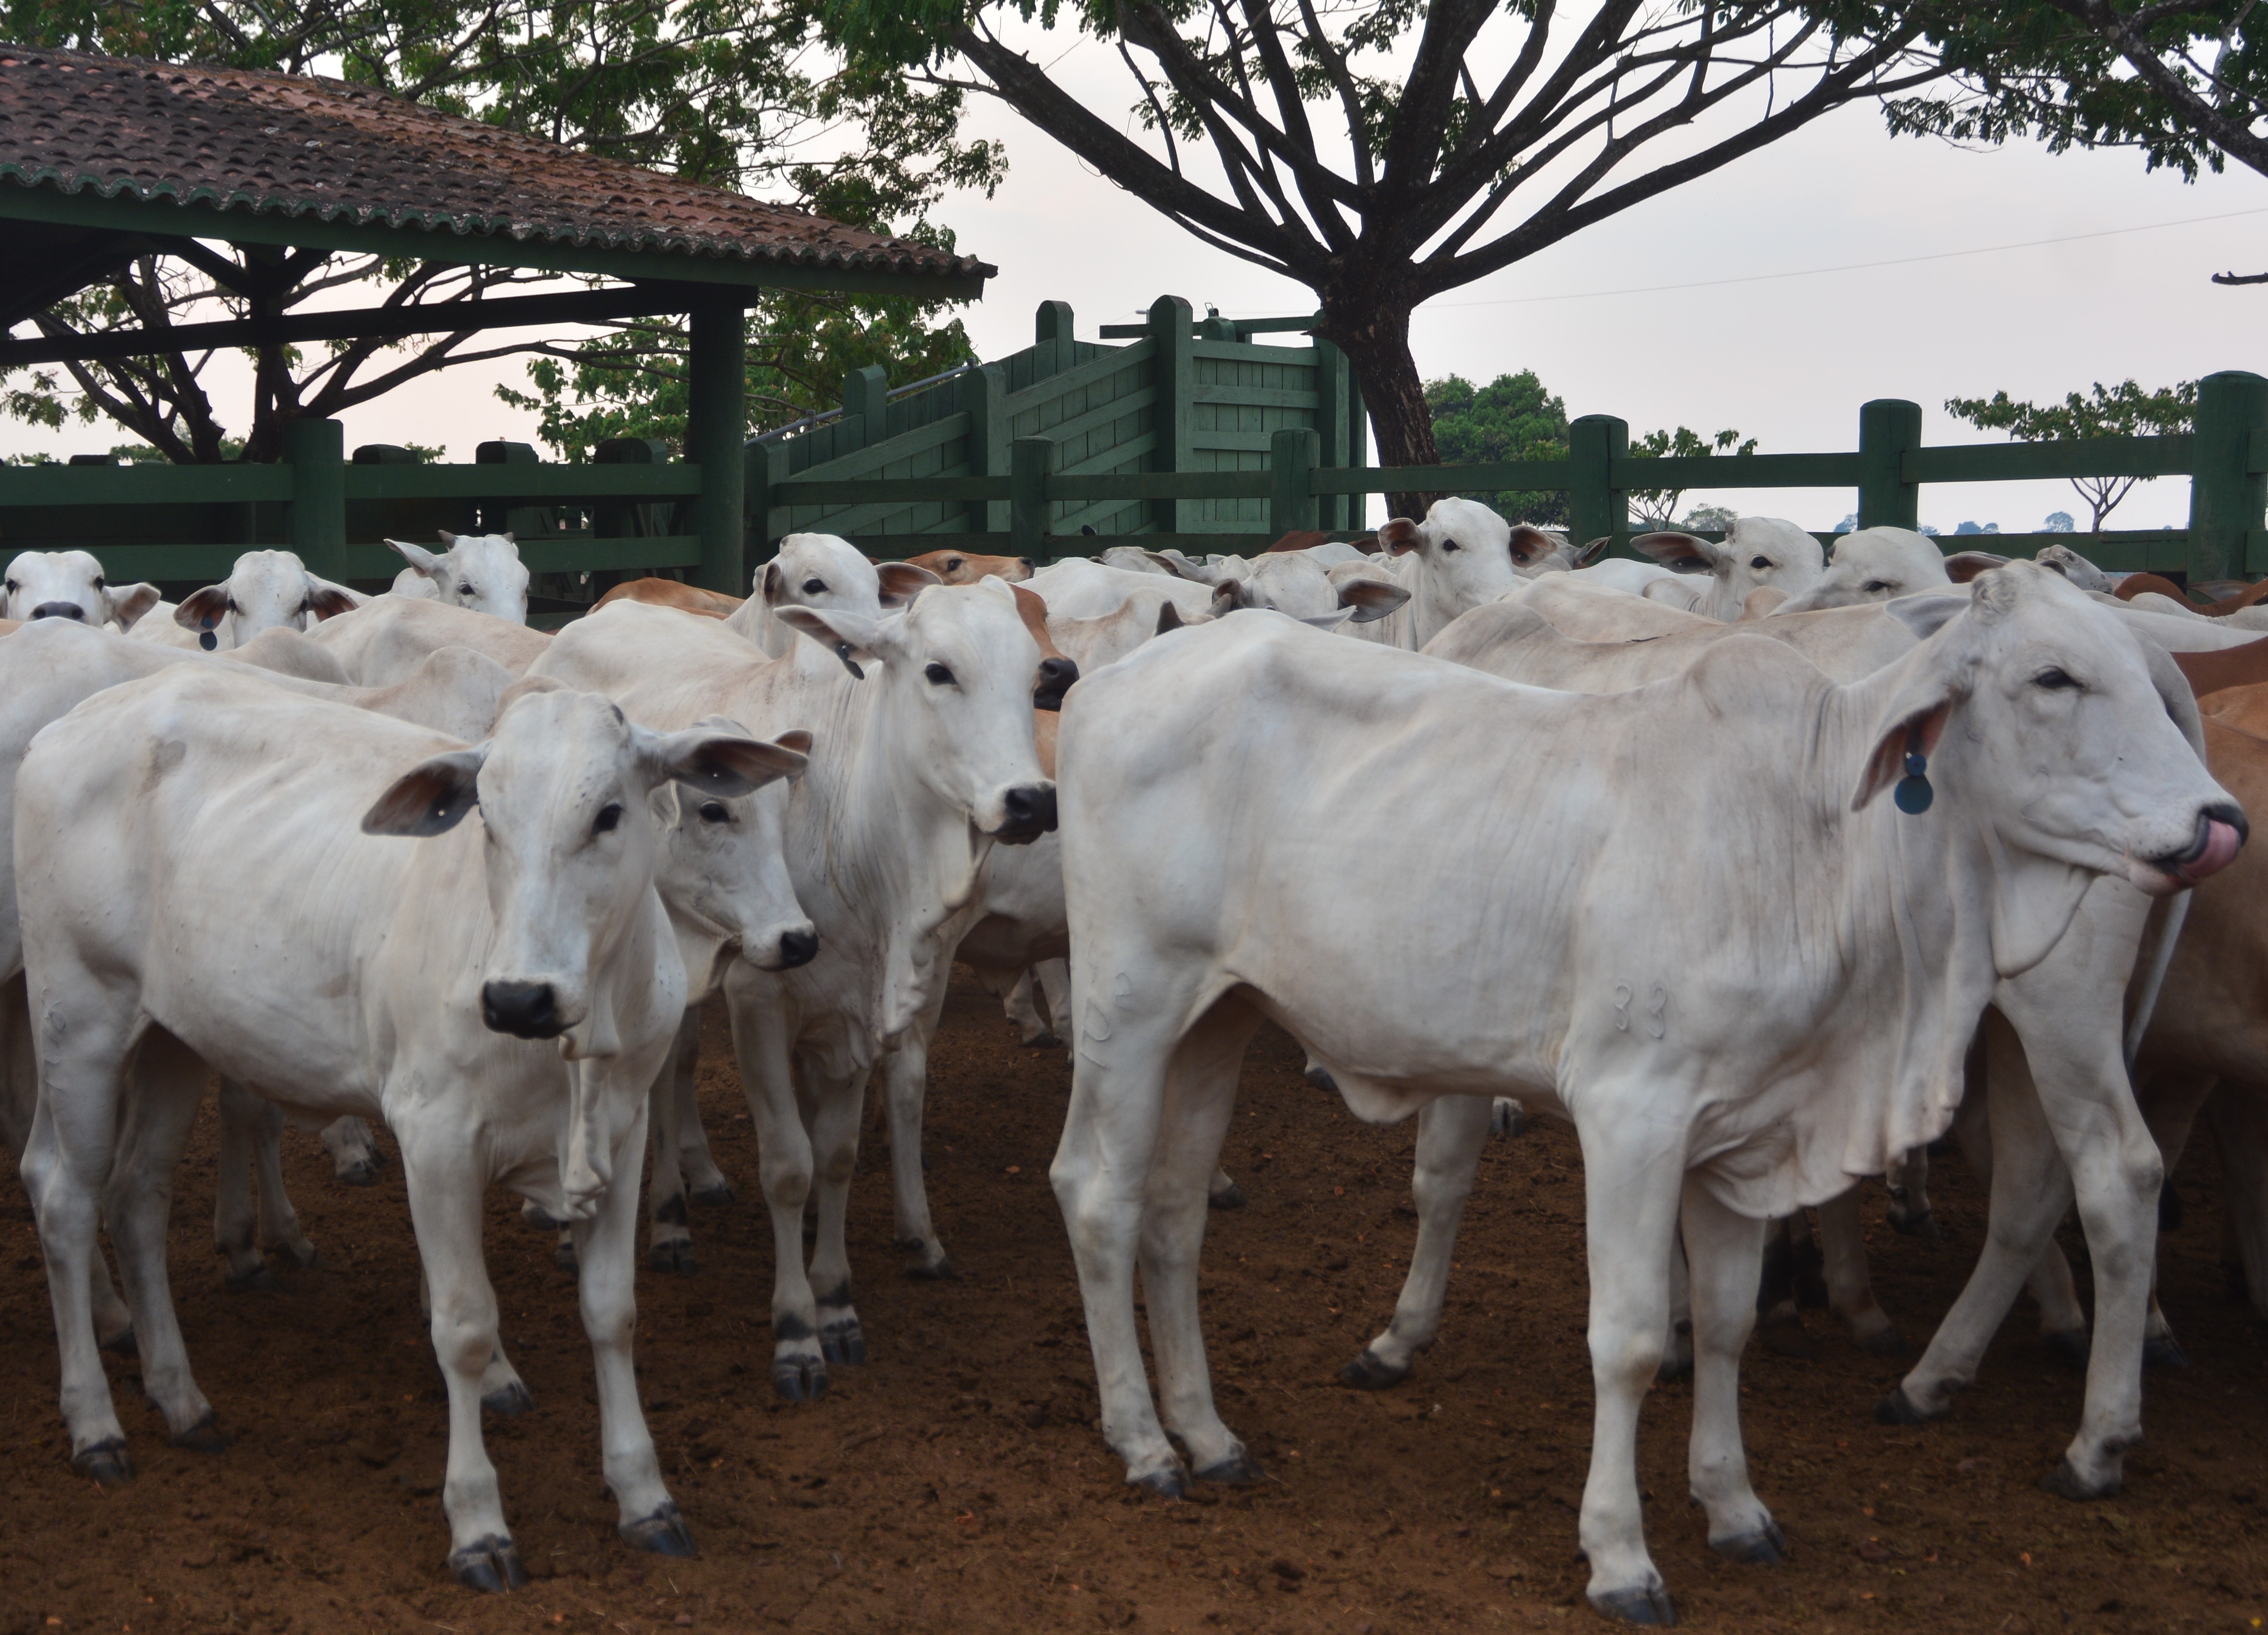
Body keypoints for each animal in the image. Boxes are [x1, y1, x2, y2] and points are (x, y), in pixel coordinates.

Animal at [13, 662, 798, 1578]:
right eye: (486, 816)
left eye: (608, 812)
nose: (518, 998)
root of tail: (73, 722)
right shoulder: (435, 1138)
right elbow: (462, 1326)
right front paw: (478, 1521)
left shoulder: (624, 1129)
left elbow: (612, 1311)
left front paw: (644, 1494)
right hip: (79, 1019)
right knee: (65, 1197)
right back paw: (96, 1424)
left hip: (174, 1036)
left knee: (138, 1195)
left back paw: (182, 1398)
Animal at [531, 578, 1052, 1388]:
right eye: (939, 671)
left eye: (1033, 679)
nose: (1030, 800)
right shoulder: (759, 1000)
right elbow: (788, 1164)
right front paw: (798, 1328)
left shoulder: (855, 1013)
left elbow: (834, 1156)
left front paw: (835, 1300)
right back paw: (655, 1220)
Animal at [1052, 565, 2241, 1623]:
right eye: (2051, 676)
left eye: (2118, 668)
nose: (2219, 820)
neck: (1811, 837)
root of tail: (1108, 683)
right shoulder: (1632, 1114)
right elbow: (1620, 1336)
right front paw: (1619, 1555)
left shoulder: (1738, 1134)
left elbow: (1723, 1323)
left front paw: (1733, 1505)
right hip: (1128, 1004)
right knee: (1098, 1194)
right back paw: (1145, 1442)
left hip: (1216, 1018)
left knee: (1174, 1215)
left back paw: (1209, 1435)